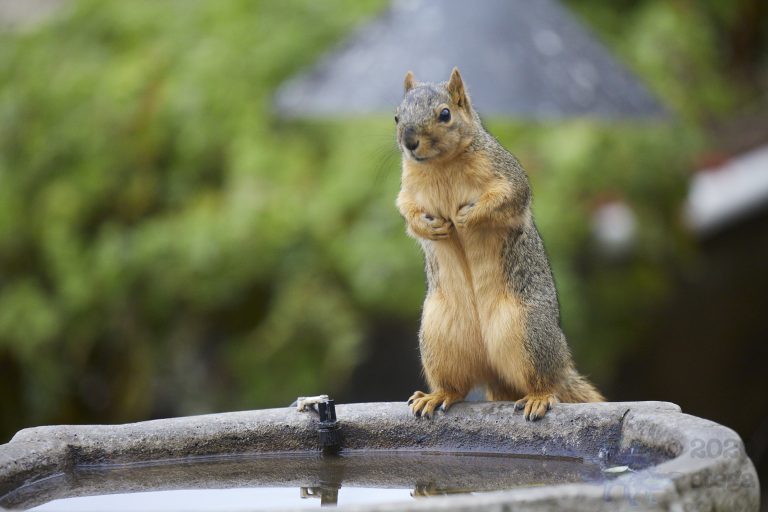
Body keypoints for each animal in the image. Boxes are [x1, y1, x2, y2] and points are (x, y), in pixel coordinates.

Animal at [395, 67, 604, 421]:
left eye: (445, 114)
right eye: (397, 116)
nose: (409, 142)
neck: (441, 165)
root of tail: (492, 369)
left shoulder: (505, 175)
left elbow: (507, 197)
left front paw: (467, 218)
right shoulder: (408, 189)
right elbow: (407, 210)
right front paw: (430, 226)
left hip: (528, 333)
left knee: (546, 382)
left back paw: (539, 397)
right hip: (440, 339)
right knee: (456, 385)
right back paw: (437, 395)